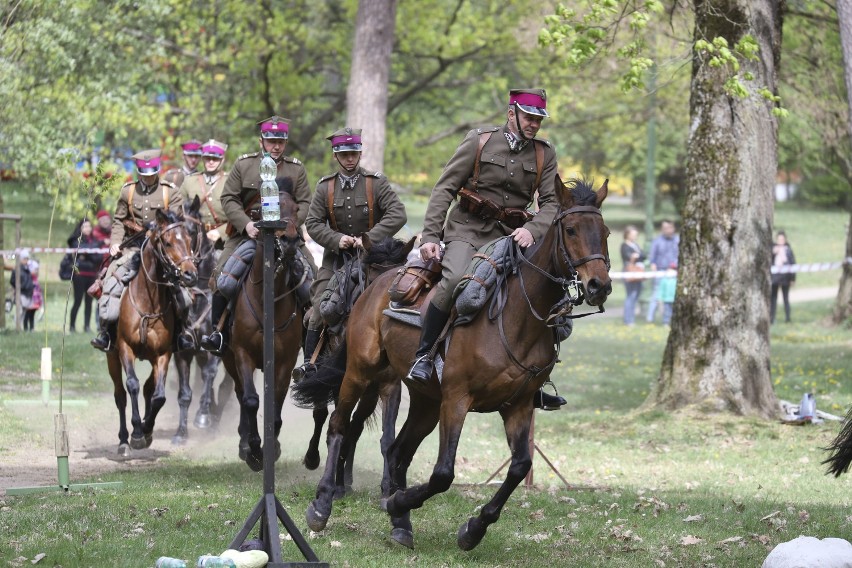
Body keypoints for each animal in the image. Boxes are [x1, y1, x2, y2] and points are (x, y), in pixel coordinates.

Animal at [106, 206, 198, 454]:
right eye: (167, 242)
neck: (149, 302)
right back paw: (123, 440)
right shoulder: (125, 348)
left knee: (149, 388)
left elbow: (159, 396)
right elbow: (132, 385)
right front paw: (137, 432)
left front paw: (147, 429)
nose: (190, 274)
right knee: (120, 395)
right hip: (111, 356)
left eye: (189, 240)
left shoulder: (163, 354)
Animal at [221, 186, 304, 470]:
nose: (289, 242)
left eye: (297, 209)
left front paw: (272, 446)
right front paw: (255, 449)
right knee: (240, 394)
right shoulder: (242, 354)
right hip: (229, 361)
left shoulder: (285, 361)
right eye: (259, 208)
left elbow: (275, 402)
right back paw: (244, 442)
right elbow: (251, 400)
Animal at [300, 179, 612, 552]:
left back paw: (400, 524)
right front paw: (400, 503)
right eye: (571, 229)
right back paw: (323, 504)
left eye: (605, 232)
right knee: (338, 426)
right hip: (361, 373)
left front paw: (471, 528)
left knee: (397, 448)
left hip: (424, 401)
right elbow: (443, 473)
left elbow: (520, 466)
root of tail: (374, 288)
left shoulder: (519, 405)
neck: (515, 318)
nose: (599, 285)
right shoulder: (456, 400)